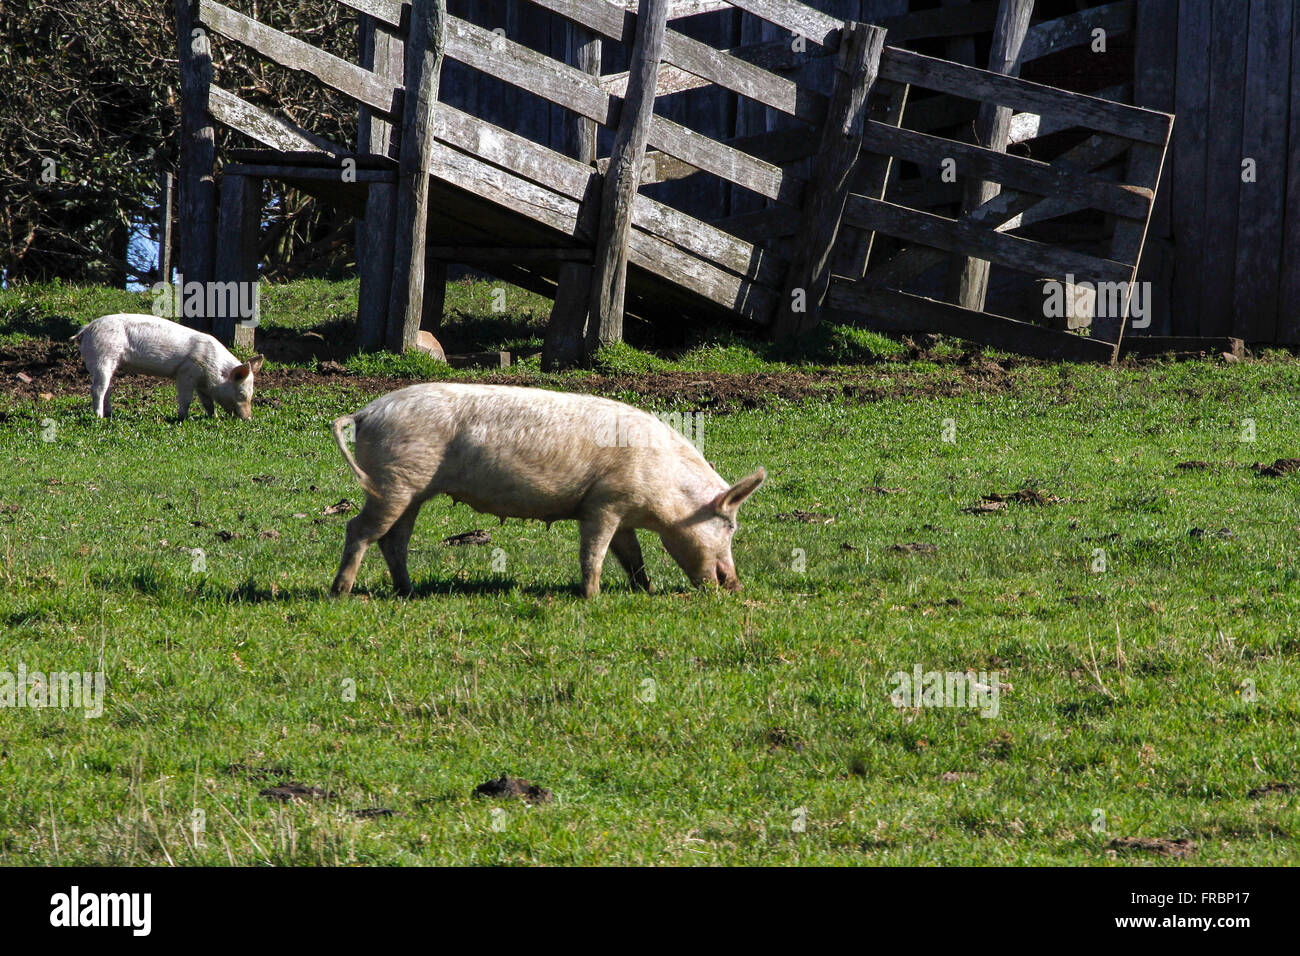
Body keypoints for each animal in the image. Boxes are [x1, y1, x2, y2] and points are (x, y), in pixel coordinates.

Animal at [73, 313, 264, 420]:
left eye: (252, 393)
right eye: (241, 394)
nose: (249, 419)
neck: (215, 370)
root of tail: (87, 329)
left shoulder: (202, 383)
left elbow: (207, 402)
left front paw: (214, 418)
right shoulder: (186, 373)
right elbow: (186, 399)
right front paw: (182, 418)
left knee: (107, 389)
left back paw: (109, 415)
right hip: (102, 357)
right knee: (97, 389)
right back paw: (98, 417)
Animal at [330, 383, 765, 598]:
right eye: (730, 527)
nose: (735, 585)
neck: (664, 486)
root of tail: (365, 412)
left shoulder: (622, 513)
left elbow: (632, 556)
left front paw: (647, 590)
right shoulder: (604, 504)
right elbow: (594, 552)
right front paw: (592, 597)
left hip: (413, 490)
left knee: (394, 540)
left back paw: (407, 591)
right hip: (393, 482)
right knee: (359, 530)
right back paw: (341, 593)